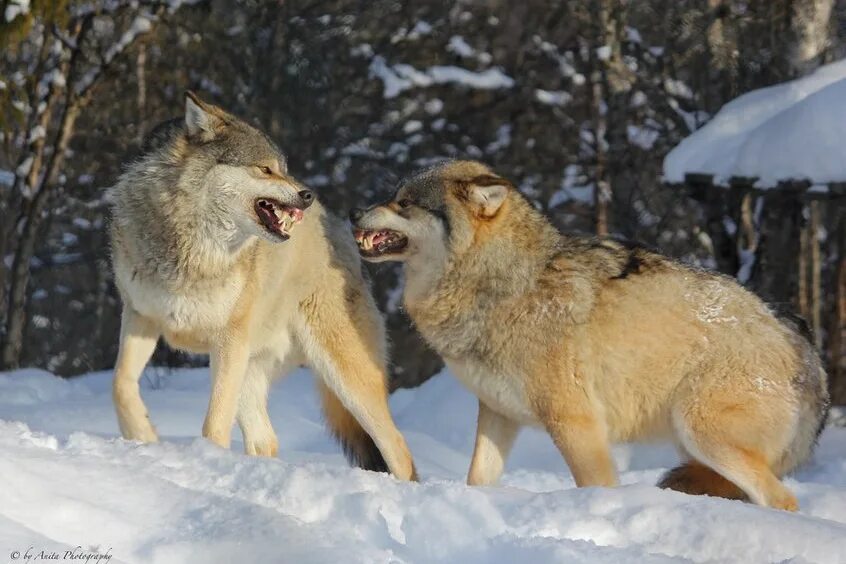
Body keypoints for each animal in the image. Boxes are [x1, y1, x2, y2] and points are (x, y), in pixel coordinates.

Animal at [107, 92, 420, 480]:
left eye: (281, 167)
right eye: (265, 169)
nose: (307, 195)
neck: (193, 249)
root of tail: (337, 228)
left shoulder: (228, 340)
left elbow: (214, 424)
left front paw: (206, 460)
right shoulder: (141, 317)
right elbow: (120, 384)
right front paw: (143, 434)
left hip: (343, 377)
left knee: (398, 447)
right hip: (250, 370)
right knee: (266, 440)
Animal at [350, 158, 828, 506]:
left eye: (405, 203)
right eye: (393, 197)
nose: (353, 211)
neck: (502, 283)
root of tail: (806, 349)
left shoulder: (575, 422)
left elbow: (595, 485)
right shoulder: (497, 413)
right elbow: (477, 478)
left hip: (704, 435)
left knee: (784, 501)